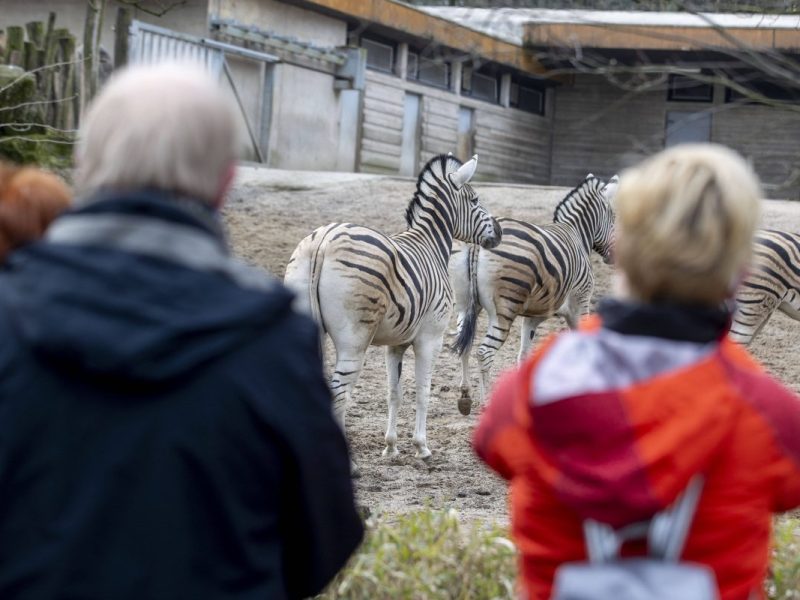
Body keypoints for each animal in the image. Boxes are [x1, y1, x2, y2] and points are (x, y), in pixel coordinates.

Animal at [283, 154, 502, 463]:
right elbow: (422, 391)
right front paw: (422, 447)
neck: (431, 245)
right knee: (339, 393)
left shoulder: (396, 343)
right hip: (354, 340)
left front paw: (391, 447)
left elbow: (394, 393)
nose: (500, 232)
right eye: (475, 199)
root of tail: (323, 241)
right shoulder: (430, 338)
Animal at [450, 173, 618, 414]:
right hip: (504, 310)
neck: (577, 233)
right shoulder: (580, 302)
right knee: (484, 353)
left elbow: (523, 356)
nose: (614, 256)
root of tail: (478, 244)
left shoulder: (531, 316)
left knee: (464, 345)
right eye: (613, 217)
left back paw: (465, 397)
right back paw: (485, 405)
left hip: (466, 305)